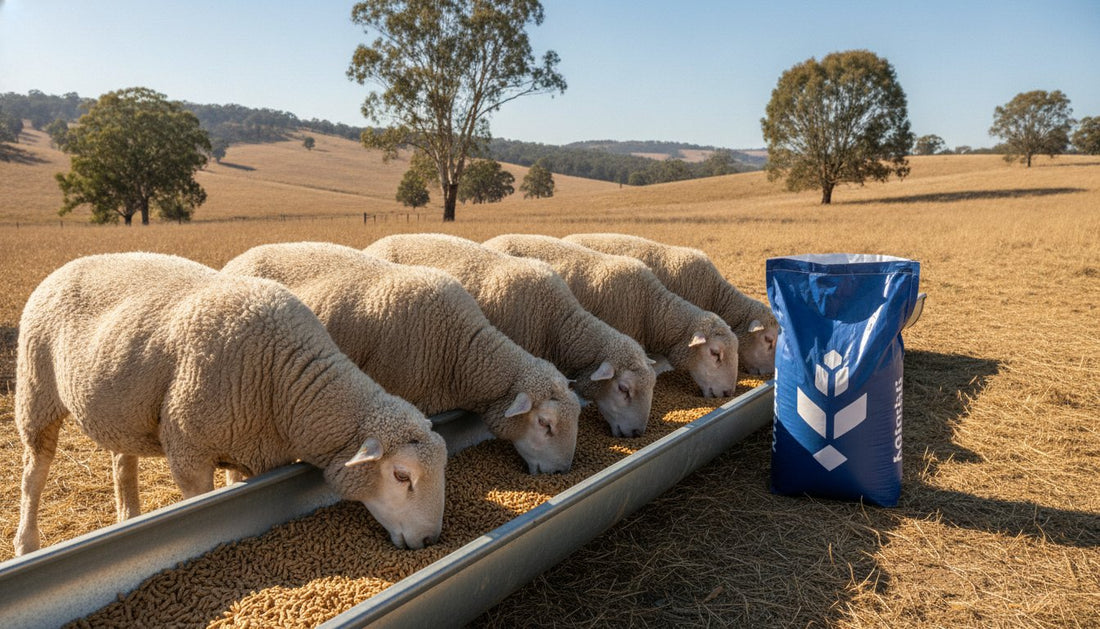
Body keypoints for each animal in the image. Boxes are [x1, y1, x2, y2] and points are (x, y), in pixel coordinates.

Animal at [14, 252, 447, 555]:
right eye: (402, 475)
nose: (430, 540)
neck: (285, 379)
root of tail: (69, 263)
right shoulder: (189, 452)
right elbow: (201, 504)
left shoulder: (253, 448)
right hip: (36, 391)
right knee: (34, 473)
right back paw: (26, 543)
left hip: (121, 406)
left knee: (122, 462)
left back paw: (128, 516)